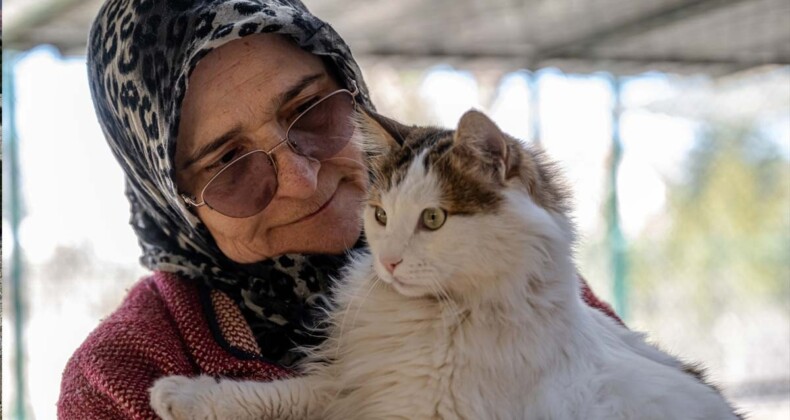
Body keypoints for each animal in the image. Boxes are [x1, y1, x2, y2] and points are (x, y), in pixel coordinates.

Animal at [148, 109, 744, 420]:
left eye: (433, 219)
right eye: (381, 215)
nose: (388, 263)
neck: (443, 318)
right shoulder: (364, 382)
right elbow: (290, 393)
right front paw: (185, 394)